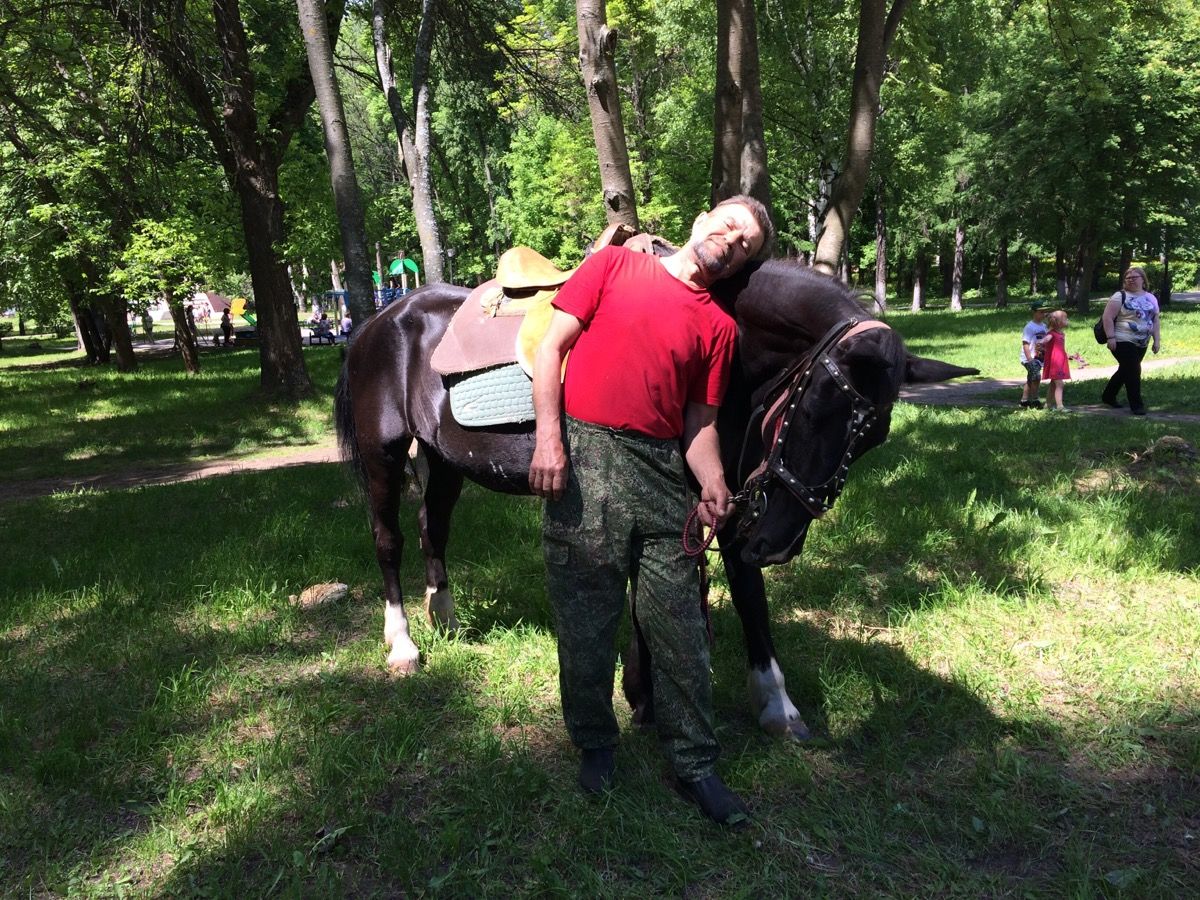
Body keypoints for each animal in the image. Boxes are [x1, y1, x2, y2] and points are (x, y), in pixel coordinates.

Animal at [334, 258, 976, 739]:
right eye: (817, 405)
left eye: (872, 438)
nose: (778, 543)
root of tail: (381, 320)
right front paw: (648, 694)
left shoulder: (725, 493)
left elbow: (742, 585)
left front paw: (773, 702)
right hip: (383, 456)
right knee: (389, 539)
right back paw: (403, 644)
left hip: (444, 459)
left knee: (432, 526)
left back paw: (444, 617)